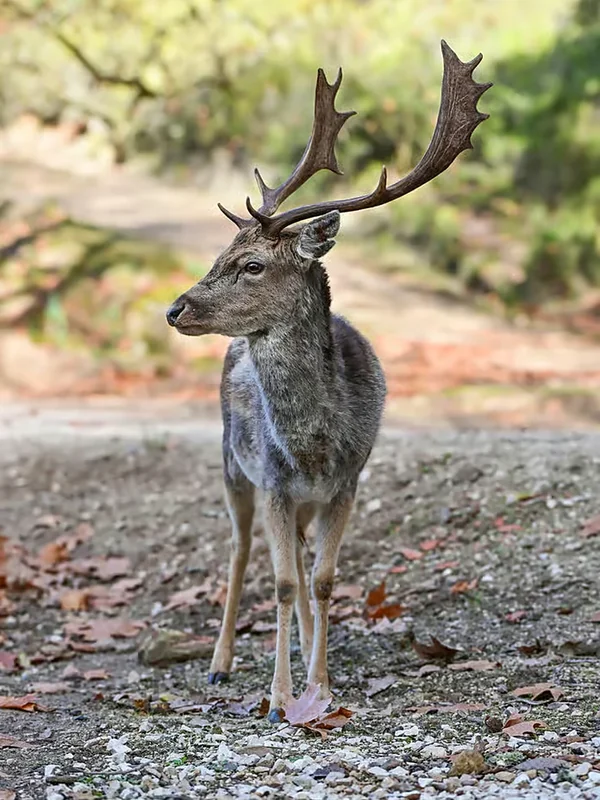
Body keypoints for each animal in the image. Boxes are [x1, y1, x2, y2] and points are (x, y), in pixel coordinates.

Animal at [166, 40, 491, 721]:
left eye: (251, 264)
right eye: (218, 255)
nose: (175, 309)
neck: (314, 446)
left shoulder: (347, 482)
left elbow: (320, 579)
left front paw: (320, 686)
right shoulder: (274, 482)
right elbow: (284, 582)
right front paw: (279, 697)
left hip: (298, 499)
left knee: (298, 560)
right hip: (233, 466)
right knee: (239, 552)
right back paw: (220, 663)